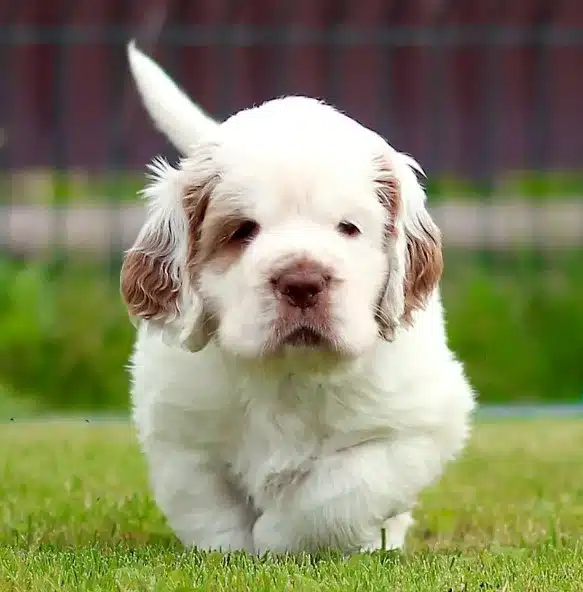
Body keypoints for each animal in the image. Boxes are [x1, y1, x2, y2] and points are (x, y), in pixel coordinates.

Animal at [122, 41, 474, 556]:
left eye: (348, 227)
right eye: (241, 230)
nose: (303, 282)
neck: (287, 375)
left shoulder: (414, 428)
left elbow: (337, 494)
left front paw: (278, 536)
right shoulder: (180, 432)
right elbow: (208, 510)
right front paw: (232, 550)